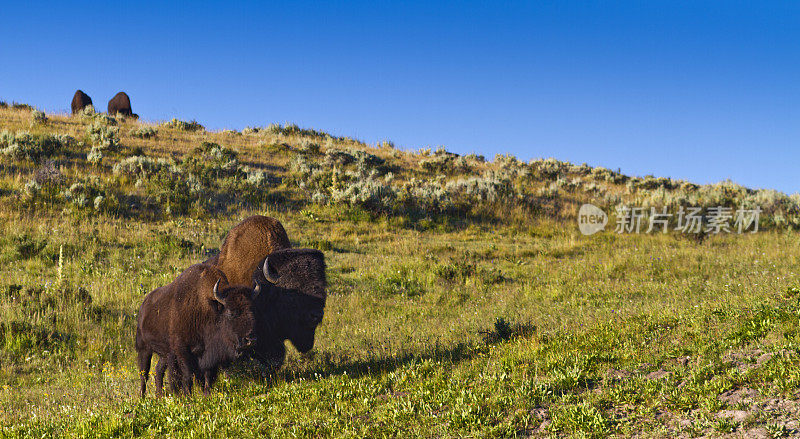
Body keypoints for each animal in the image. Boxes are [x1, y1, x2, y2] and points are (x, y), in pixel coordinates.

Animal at [137, 264, 260, 398]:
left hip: (164, 354)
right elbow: (187, 376)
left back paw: (159, 395)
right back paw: (142, 397)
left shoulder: (209, 355)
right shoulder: (183, 352)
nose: (250, 340)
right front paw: (187, 396)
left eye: (252, 311)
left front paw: (206, 395)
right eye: (230, 312)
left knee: (158, 371)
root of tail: (143, 306)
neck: (210, 309)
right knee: (144, 374)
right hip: (144, 349)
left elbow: (207, 376)